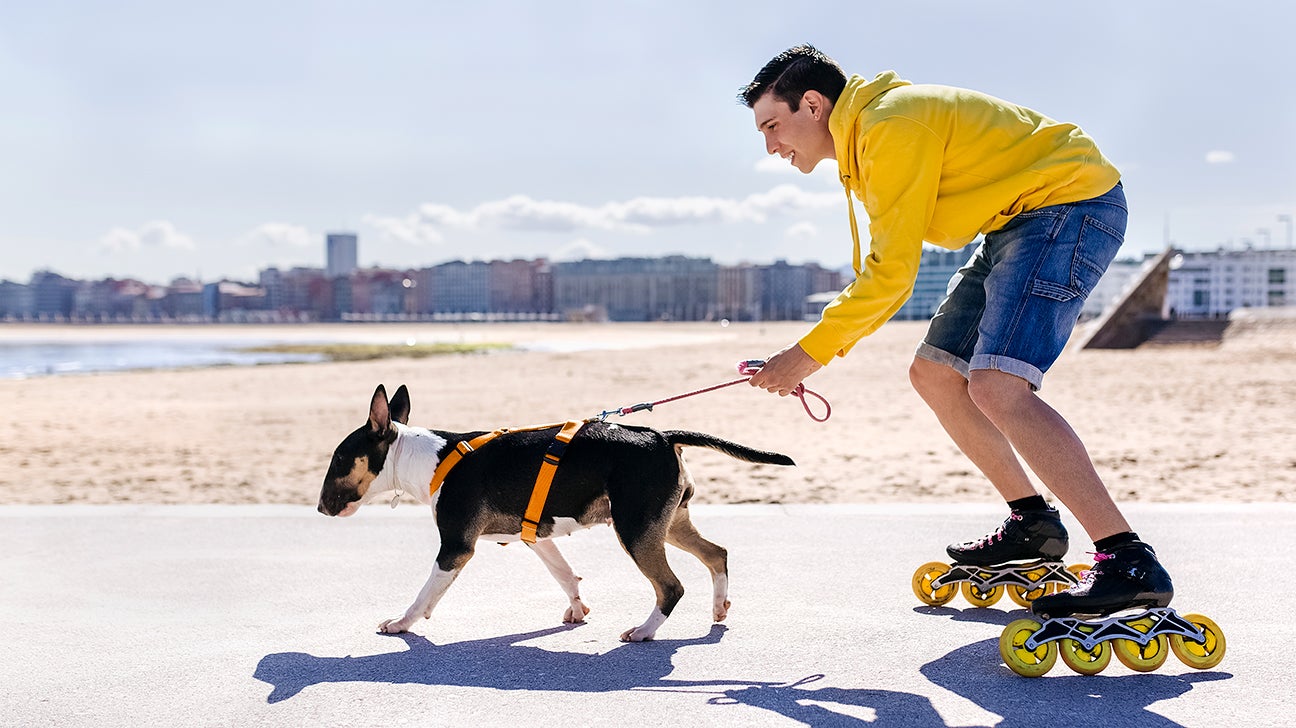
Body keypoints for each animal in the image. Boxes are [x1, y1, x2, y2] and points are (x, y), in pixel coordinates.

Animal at [318, 383, 793, 637]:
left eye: (339, 459)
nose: (321, 508)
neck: (429, 459)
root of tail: (660, 435)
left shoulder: (455, 547)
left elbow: (425, 594)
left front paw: (401, 623)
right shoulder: (536, 537)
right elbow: (564, 574)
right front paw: (578, 610)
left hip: (635, 530)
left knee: (670, 587)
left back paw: (644, 632)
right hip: (669, 522)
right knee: (717, 554)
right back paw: (718, 609)